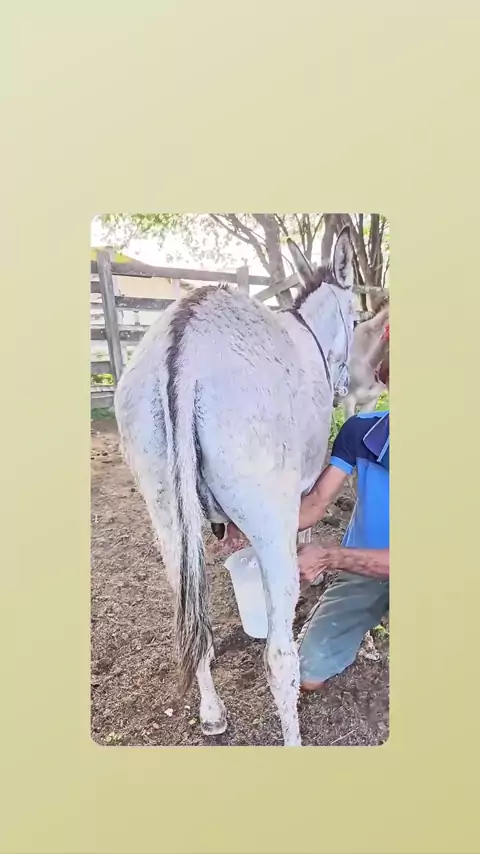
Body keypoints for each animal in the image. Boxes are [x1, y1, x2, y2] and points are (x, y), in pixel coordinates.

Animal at [114, 226, 355, 746]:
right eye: (356, 317)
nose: (346, 385)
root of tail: (184, 344)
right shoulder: (302, 480)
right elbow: (307, 522)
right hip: (265, 508)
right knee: (281, 658)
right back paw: (293, 739)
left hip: (165, 512)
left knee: (195, 628)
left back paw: (211, 714)